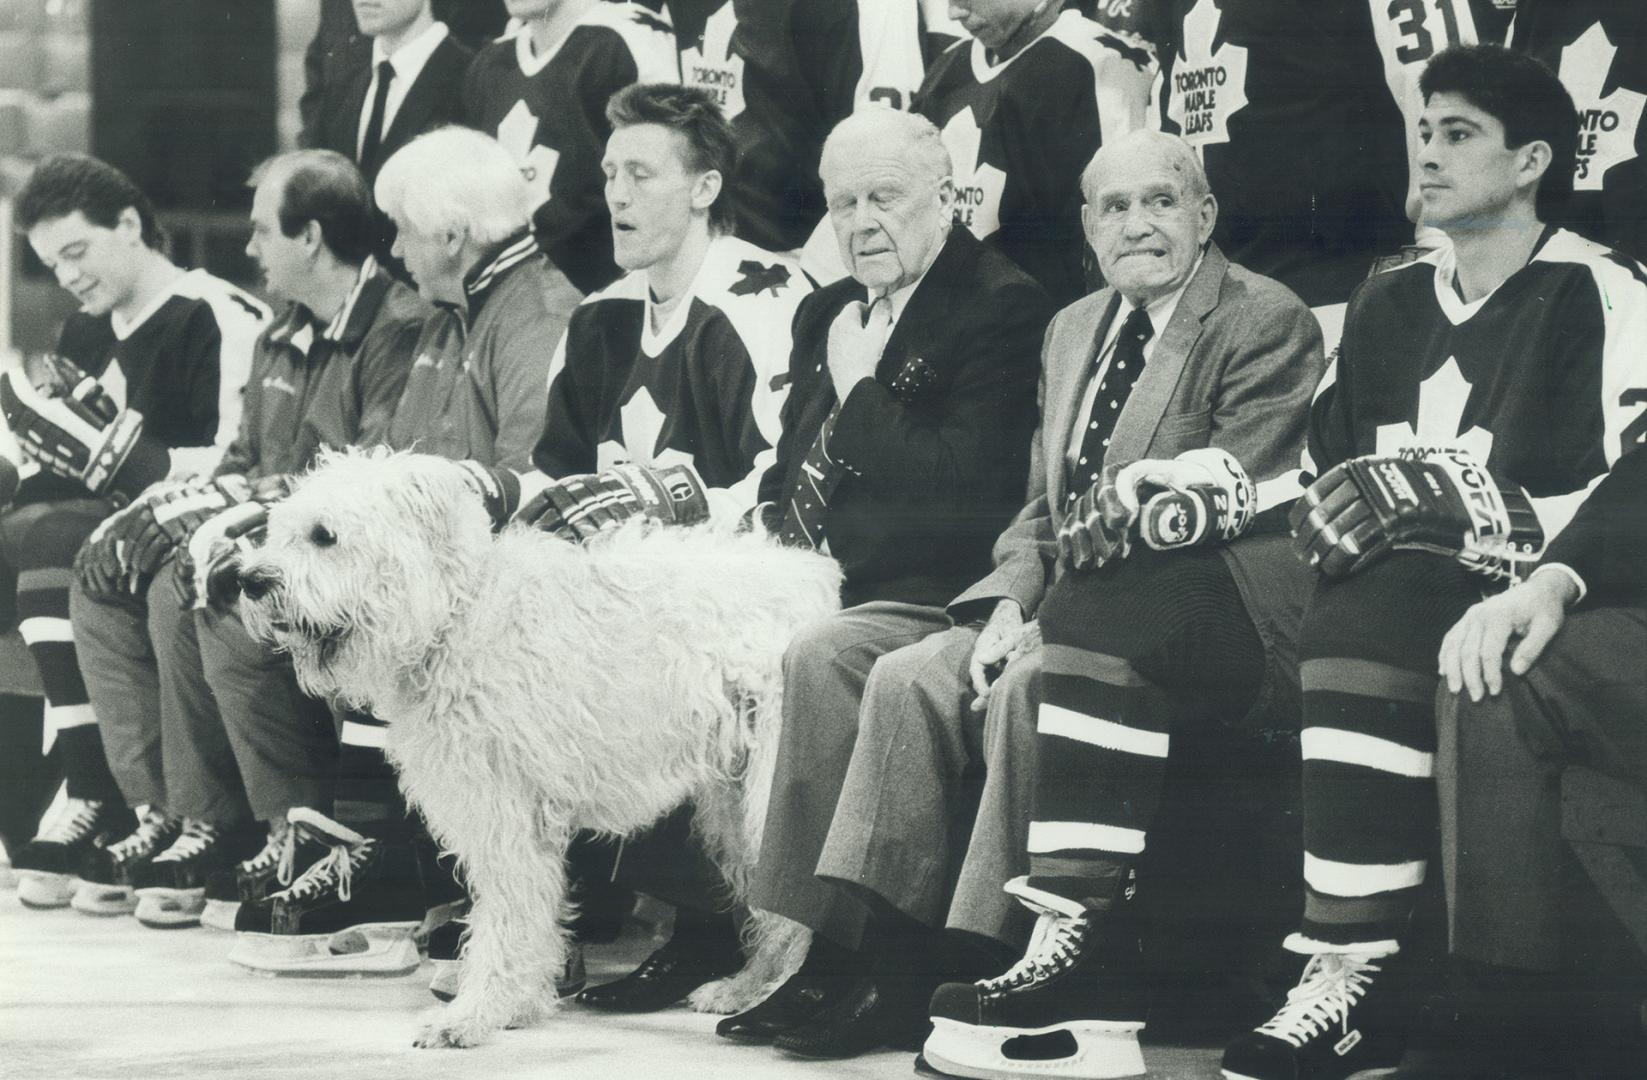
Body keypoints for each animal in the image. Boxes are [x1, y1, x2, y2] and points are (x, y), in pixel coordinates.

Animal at [235, 451, 836, 1053]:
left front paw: (474, 1014)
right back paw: (746, 988)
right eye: (281, 530)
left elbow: (507, 918)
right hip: (733, 802)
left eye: (325, 535)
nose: (247, 580)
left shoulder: (504, 813)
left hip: (769, 795)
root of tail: (816, 584)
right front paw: (516, 1003)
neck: (456, 615)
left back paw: (779, 998)